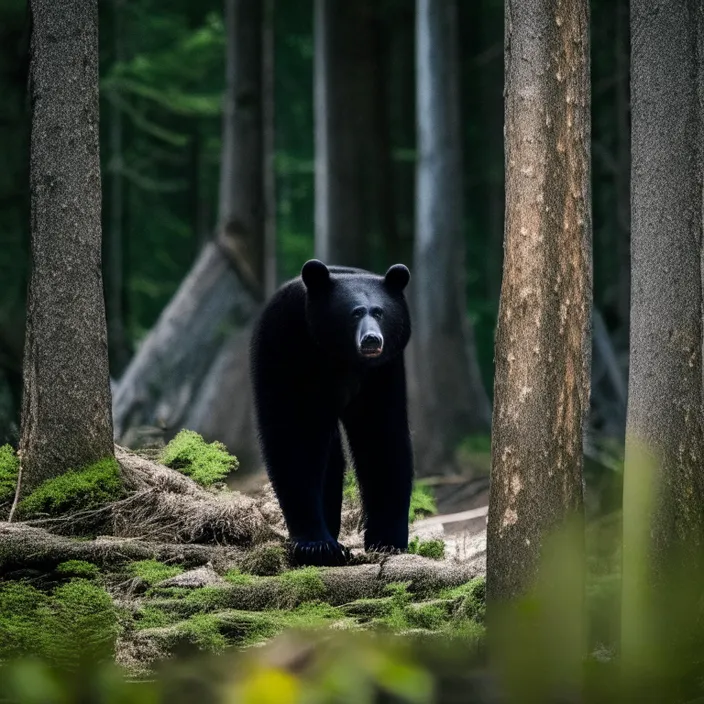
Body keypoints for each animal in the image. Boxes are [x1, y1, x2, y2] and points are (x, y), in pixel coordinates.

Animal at [250, 258, 412, 568]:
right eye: (355, 312)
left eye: (380, 311)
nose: (372, 340)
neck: (343, 357)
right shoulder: (293, 349)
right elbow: (296, 436)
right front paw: (315, 545)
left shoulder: (382, 372)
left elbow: (382, 436)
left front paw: (388, 540)